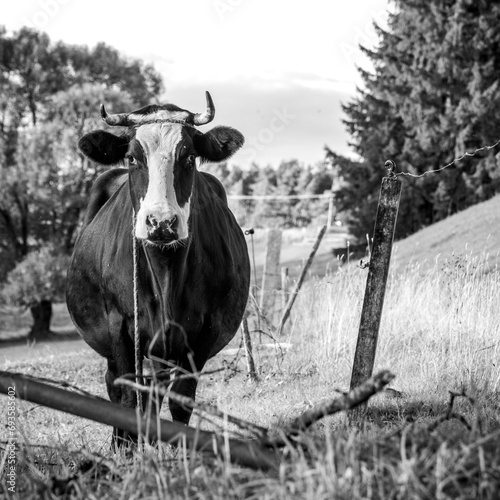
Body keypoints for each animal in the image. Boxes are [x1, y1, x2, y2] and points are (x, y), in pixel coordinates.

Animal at [67, 92, 250, 448]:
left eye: (189, 157)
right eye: (132, 158)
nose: (161, 222)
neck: (165, 273)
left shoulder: (206, 330)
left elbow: (181, 399)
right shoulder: (120, 325)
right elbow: (128, 397)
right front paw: (127, 452)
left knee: (156, 391)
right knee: (116, 384)